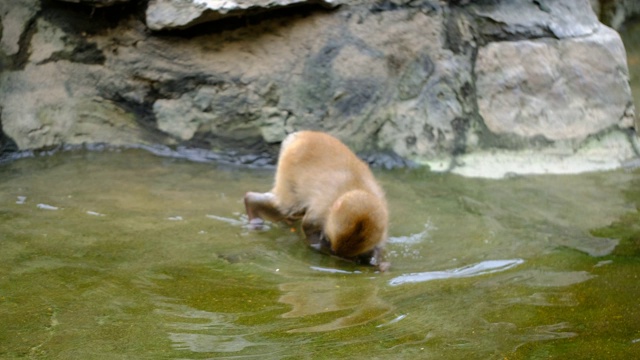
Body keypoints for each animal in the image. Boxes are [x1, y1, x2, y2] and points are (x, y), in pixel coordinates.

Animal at [244, 131, 388, 268]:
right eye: (330, 242)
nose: (335, 252)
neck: (354, 188)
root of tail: (300, 136)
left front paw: (377, 260)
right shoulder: (322, 208)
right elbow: (309, 226)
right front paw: (324, 249)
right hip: (288, 174)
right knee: (285, 208)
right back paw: (252, 208)